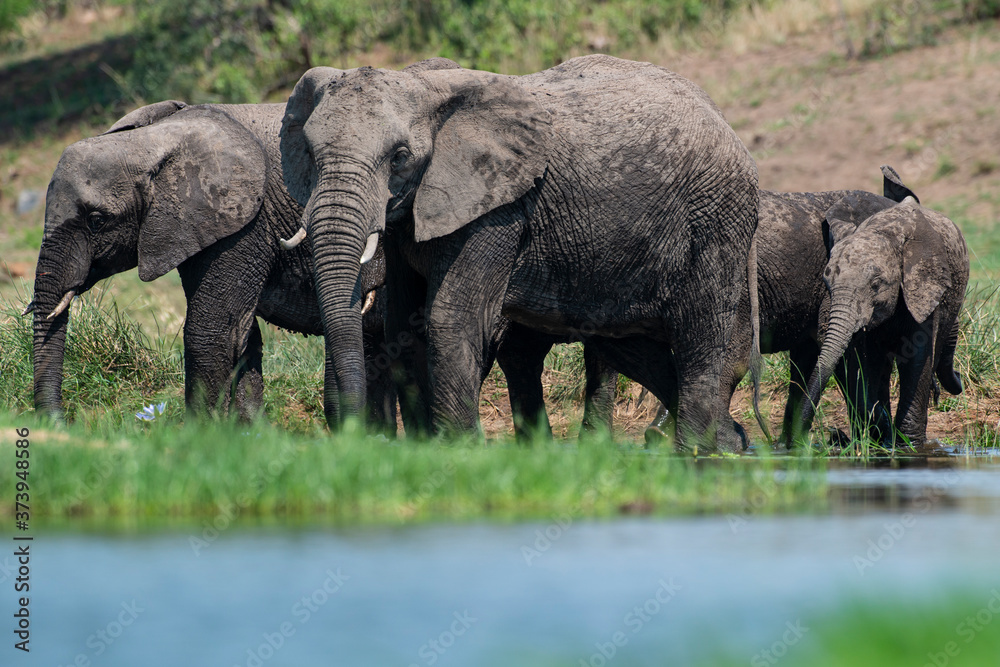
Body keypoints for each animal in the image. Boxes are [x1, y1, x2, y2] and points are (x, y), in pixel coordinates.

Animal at [28, 99, 395, 429]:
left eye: (97, 221)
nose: (62, 424)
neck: (156, 141)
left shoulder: (245, 221)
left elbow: (211, 331)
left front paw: (201, 436)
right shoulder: (197, 227)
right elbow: (241, 333)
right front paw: (248, 434)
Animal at [280, 54, 761, 452]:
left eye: (399, 157)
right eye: (310, 153)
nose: (362, 438)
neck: (426, 85)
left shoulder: (499, 207)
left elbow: (449, 318)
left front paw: (460, 450)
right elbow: (404, 324)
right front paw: (425, 449)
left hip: (715, 220)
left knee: (699, 336)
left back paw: (695, 454)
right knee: (634, 347)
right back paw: (732, 445)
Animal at [644, 166, 918, 447]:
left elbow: (807, 360)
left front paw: (790, 447)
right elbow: (842, 354)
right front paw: (881, 438)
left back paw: (660, 435)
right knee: (728, 362)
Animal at [801, 192, 969, 447]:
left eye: (876, 285)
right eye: (827, 284)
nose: (959, 377)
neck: (886, 233)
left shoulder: (923, 288)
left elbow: (917, 356)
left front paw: (910, 445)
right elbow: (864, 360)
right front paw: (881, 431)